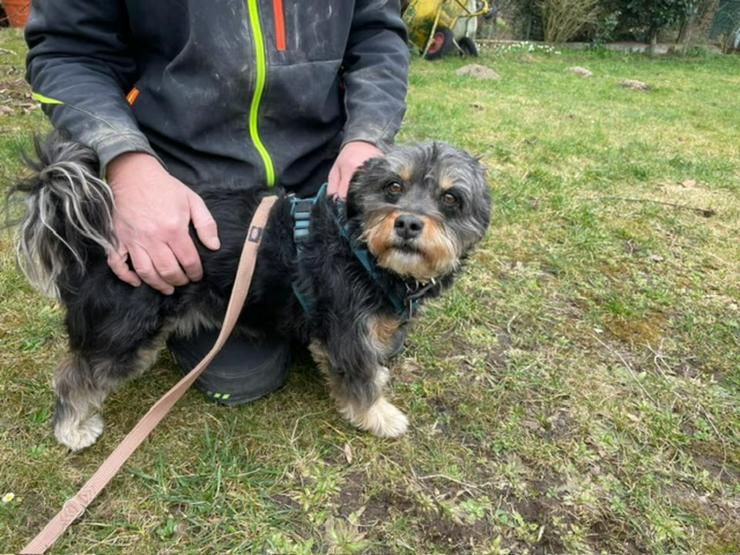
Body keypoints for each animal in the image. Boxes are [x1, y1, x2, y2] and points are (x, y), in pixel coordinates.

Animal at [8, 135, 492, 452]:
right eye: (393, 186)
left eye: (451, 199)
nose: (408, 223)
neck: (358, 245)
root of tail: (96, 246)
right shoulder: (346, 334)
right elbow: (361, 380)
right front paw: (379, 416)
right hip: (123, 334)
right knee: (74, 376)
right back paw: (72, 429)